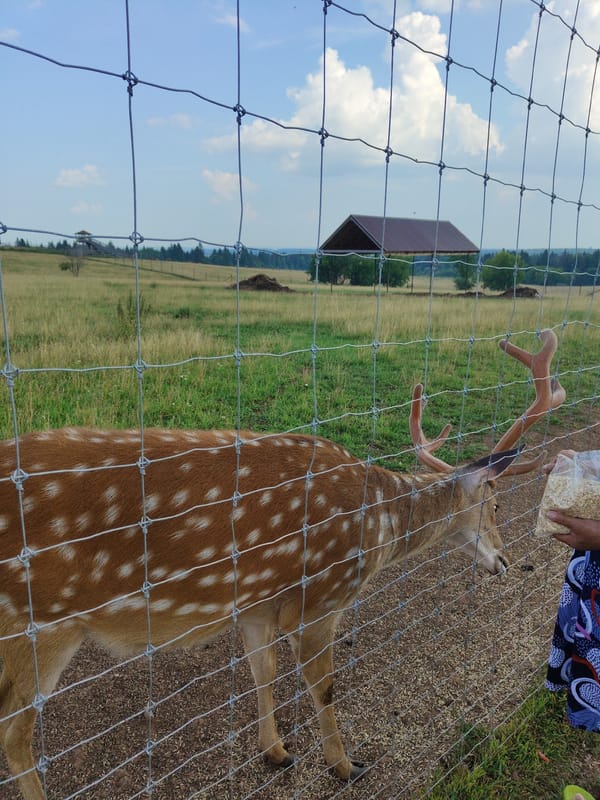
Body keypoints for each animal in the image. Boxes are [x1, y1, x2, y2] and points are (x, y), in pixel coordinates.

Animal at [0, 329, 565, 800]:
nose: (506, 560)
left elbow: (263, 670)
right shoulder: (320, 598)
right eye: (495, 504)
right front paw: (345, 765)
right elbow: (324, 684)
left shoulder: (257, 603)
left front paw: (275, 751)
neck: (378, 523)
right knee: (15, 732)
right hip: (39, 623)